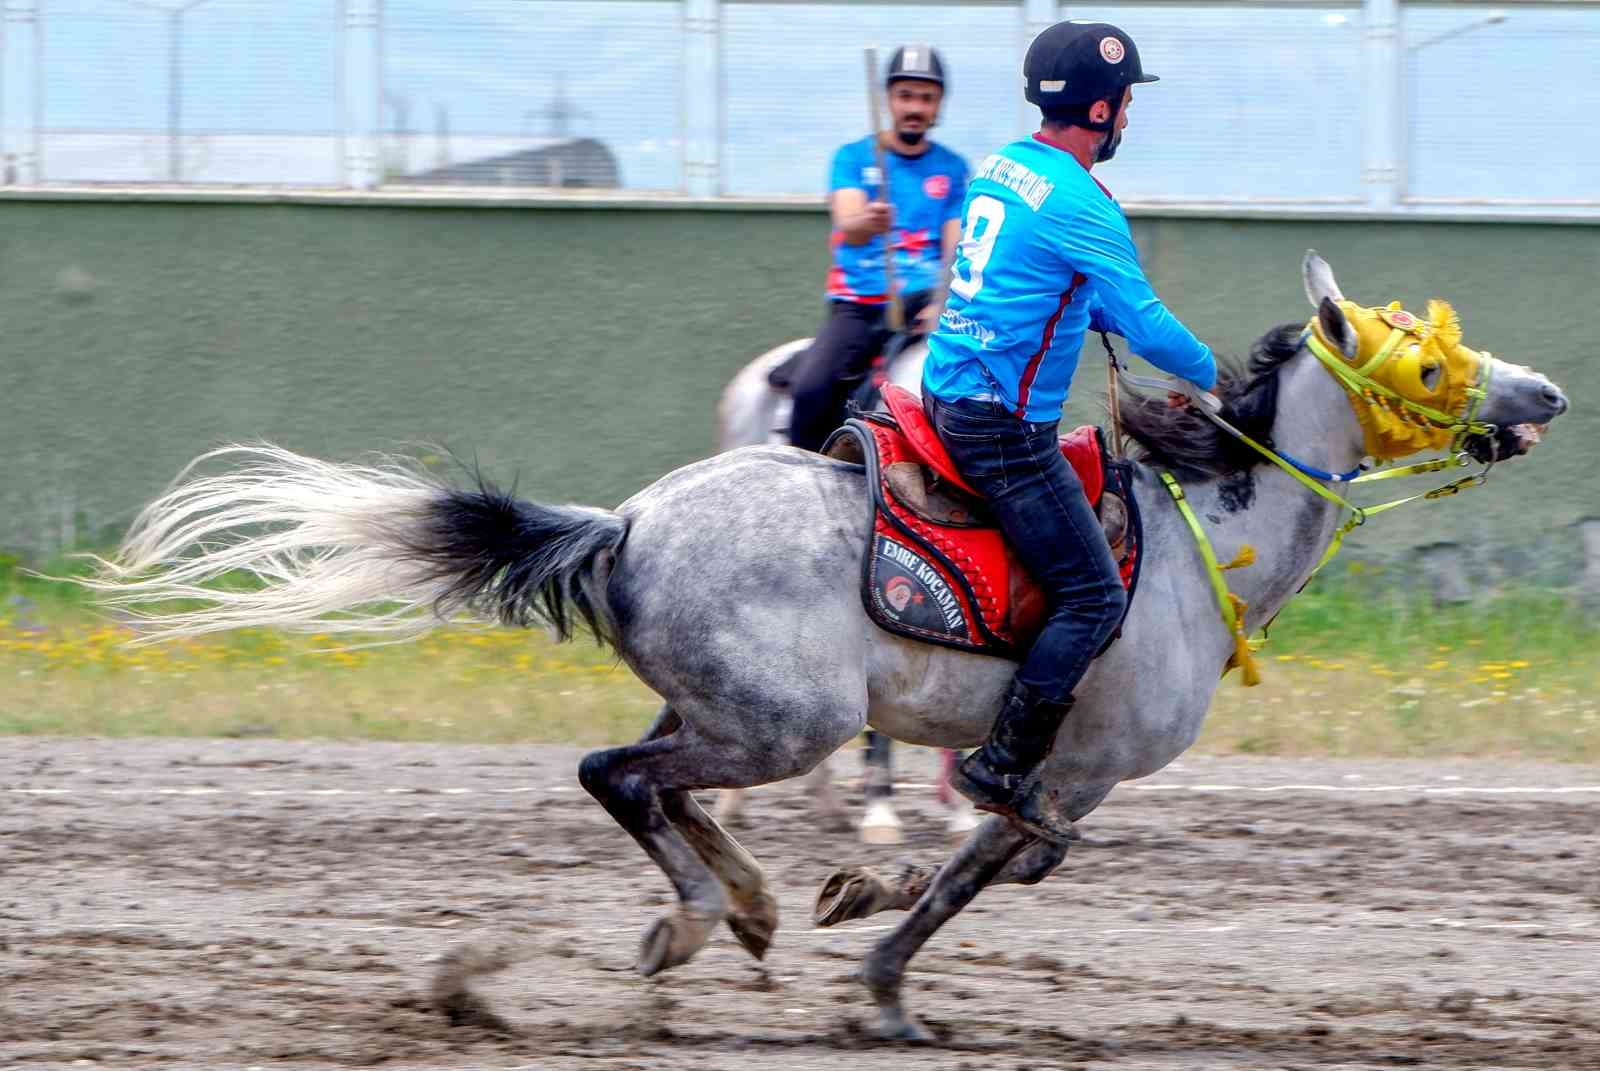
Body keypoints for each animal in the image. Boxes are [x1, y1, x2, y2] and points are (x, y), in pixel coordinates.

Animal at [81, 254, 1568, 1037]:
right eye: (1426, 363)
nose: (1546, 390)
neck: (1210, 530)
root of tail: (626, 521)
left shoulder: (1057, 776)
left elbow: (991, 862)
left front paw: (866, 932)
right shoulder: (1071, 769)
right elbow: (984, 864)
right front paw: (882, 960)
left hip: (730, 714)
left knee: (656, 786)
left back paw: (737, 906)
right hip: (775, 723)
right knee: (618, 775)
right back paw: (705, 916)